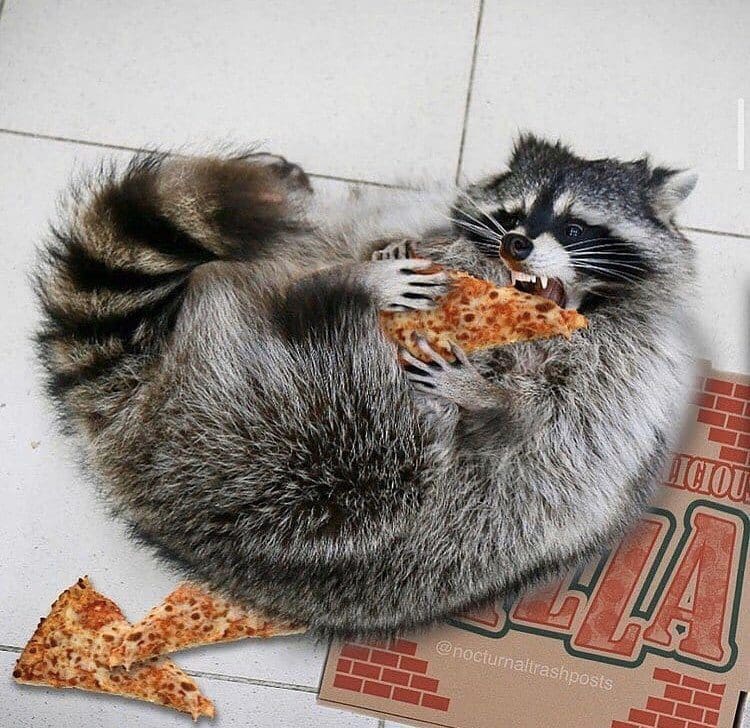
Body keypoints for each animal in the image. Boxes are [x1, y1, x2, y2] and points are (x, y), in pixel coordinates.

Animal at [34, 135, 697, 638]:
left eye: (575, 226)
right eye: (513, 216)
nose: (516, 243)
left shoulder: (616, 385)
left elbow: (537, 424)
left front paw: (485, 396)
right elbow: (398, 235)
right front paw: (382, 257)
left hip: (319, 433)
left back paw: (339, 289)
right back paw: (347, 267)